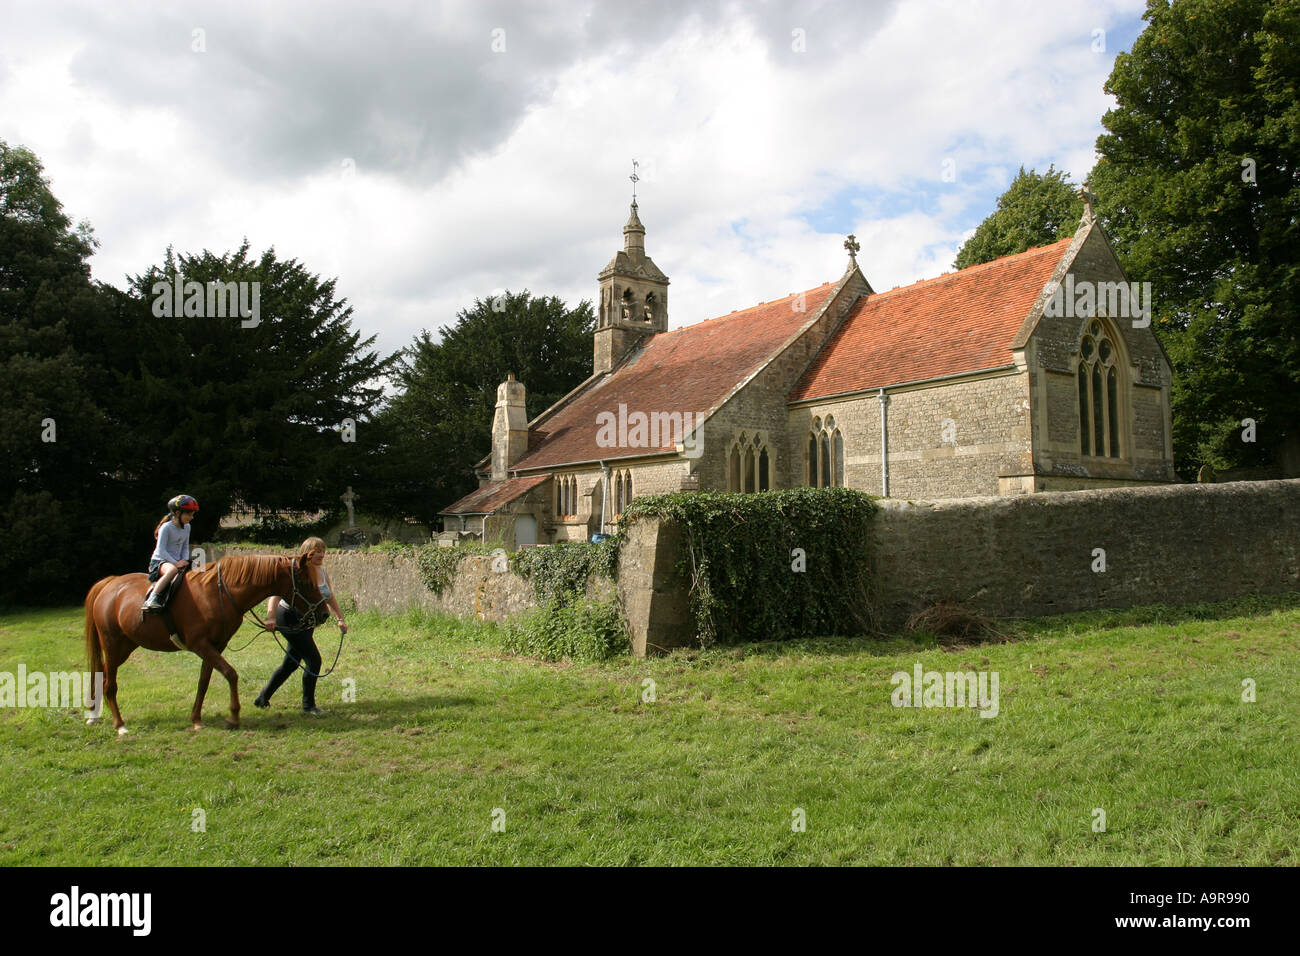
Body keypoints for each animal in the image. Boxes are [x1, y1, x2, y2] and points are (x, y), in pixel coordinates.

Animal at [83, 554, 322, 733]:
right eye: (307, 583)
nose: (324, 612)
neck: (217, 594)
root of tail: (110, 583)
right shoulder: (201, 645)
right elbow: (230, 674)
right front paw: (233, 717)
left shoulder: (215, 646)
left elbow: (204, 681)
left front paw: (196, 719)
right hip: (112, 645)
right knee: (110, 683)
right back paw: (119, 725)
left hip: (125, 646)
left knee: (103, 675)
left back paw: (95, 715)